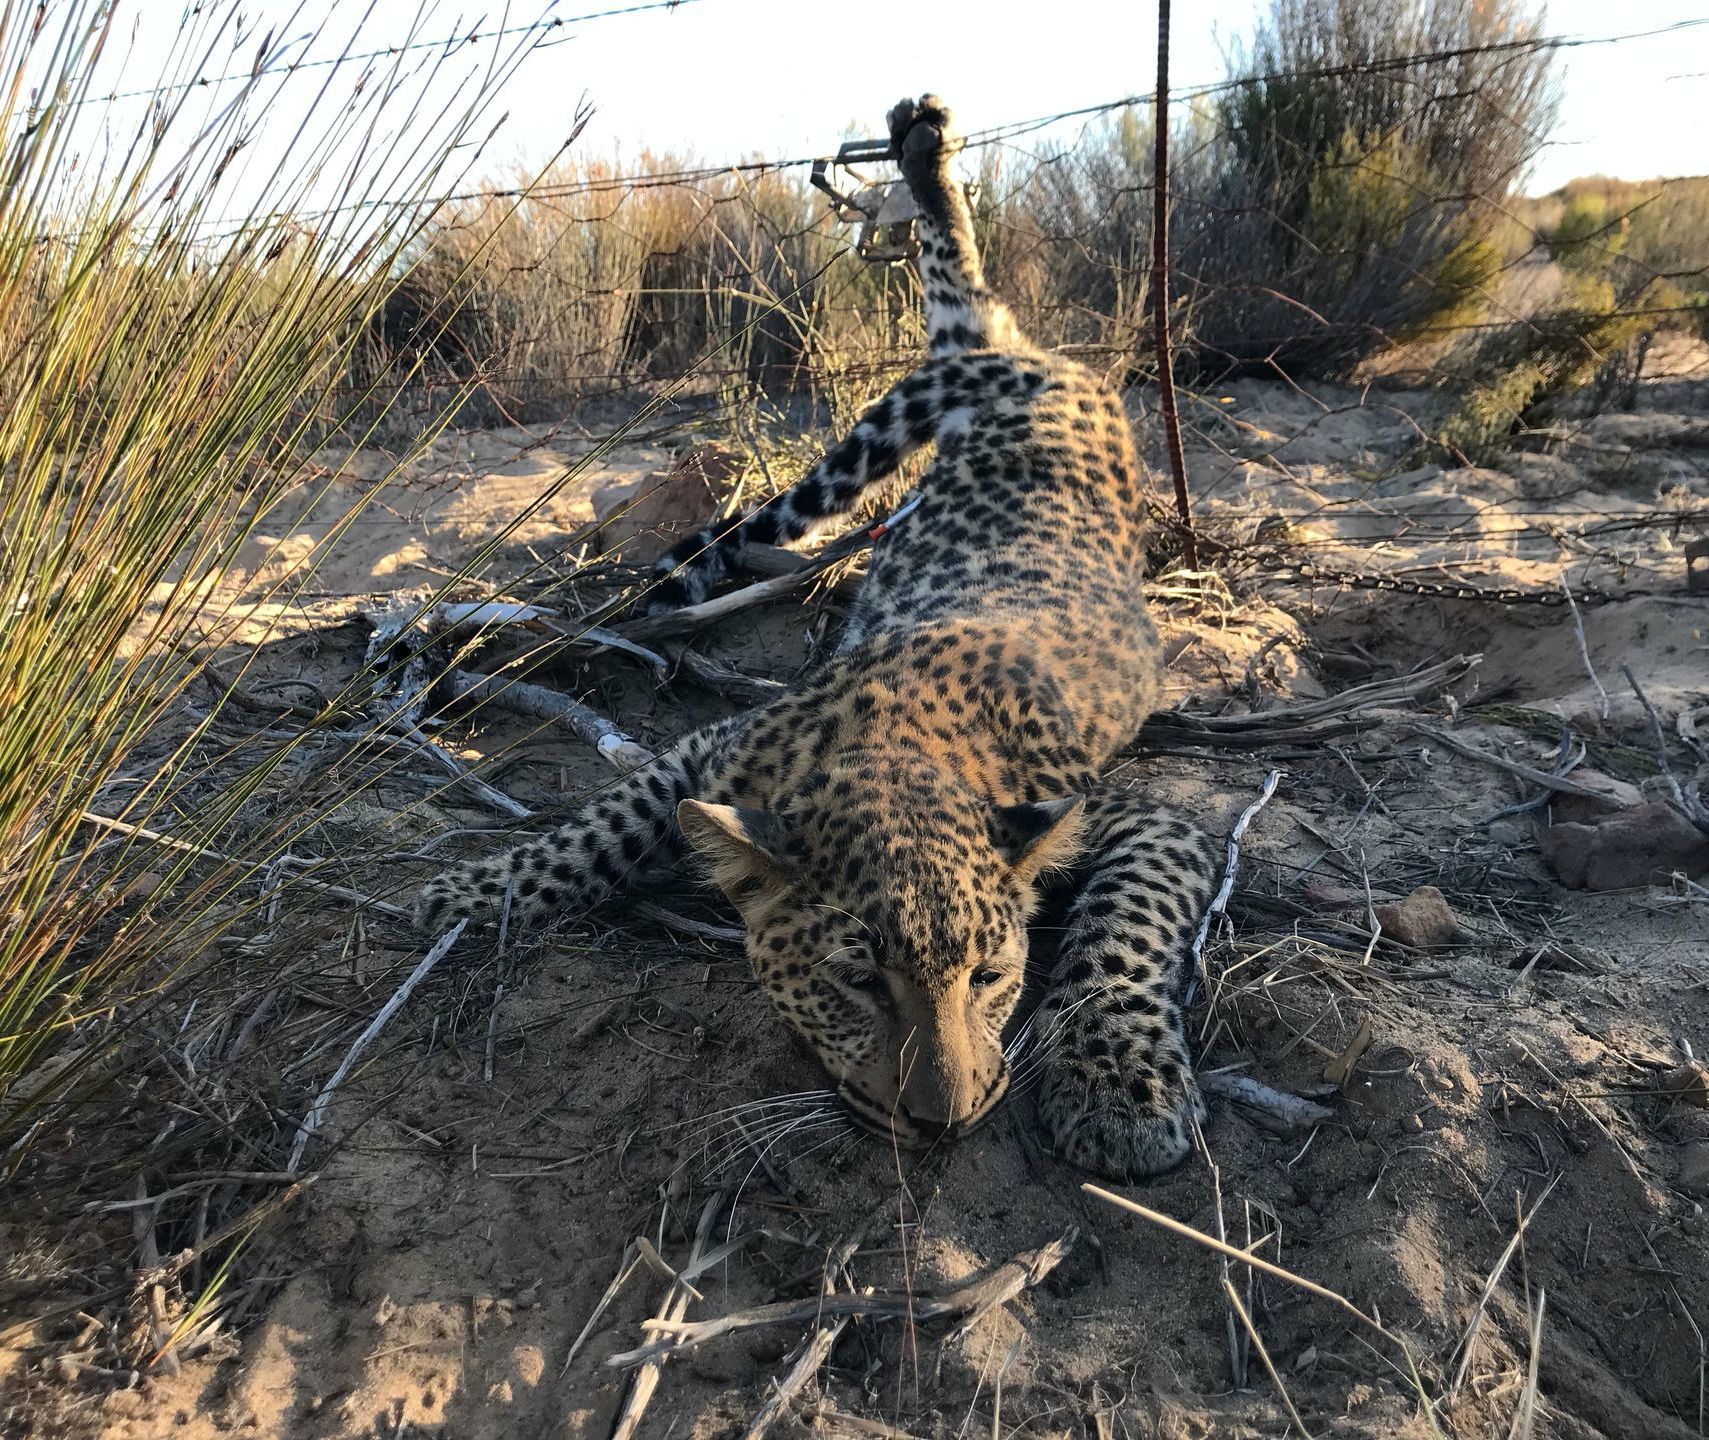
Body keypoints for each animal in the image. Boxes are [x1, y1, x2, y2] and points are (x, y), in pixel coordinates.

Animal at [417, 94, 1224, 1179]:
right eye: (857, 981)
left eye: (990, 975)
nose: (946, 1121)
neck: (906, 741)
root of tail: (1046, 375)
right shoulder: (706, 748)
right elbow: (597, 828)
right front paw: (479, 890)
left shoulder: (1146, 817)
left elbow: (1127, 927)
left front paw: (1116, 1083)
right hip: (915, 409)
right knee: (952, 287)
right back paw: (923, 151)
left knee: (962, 293)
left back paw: (925, 154)